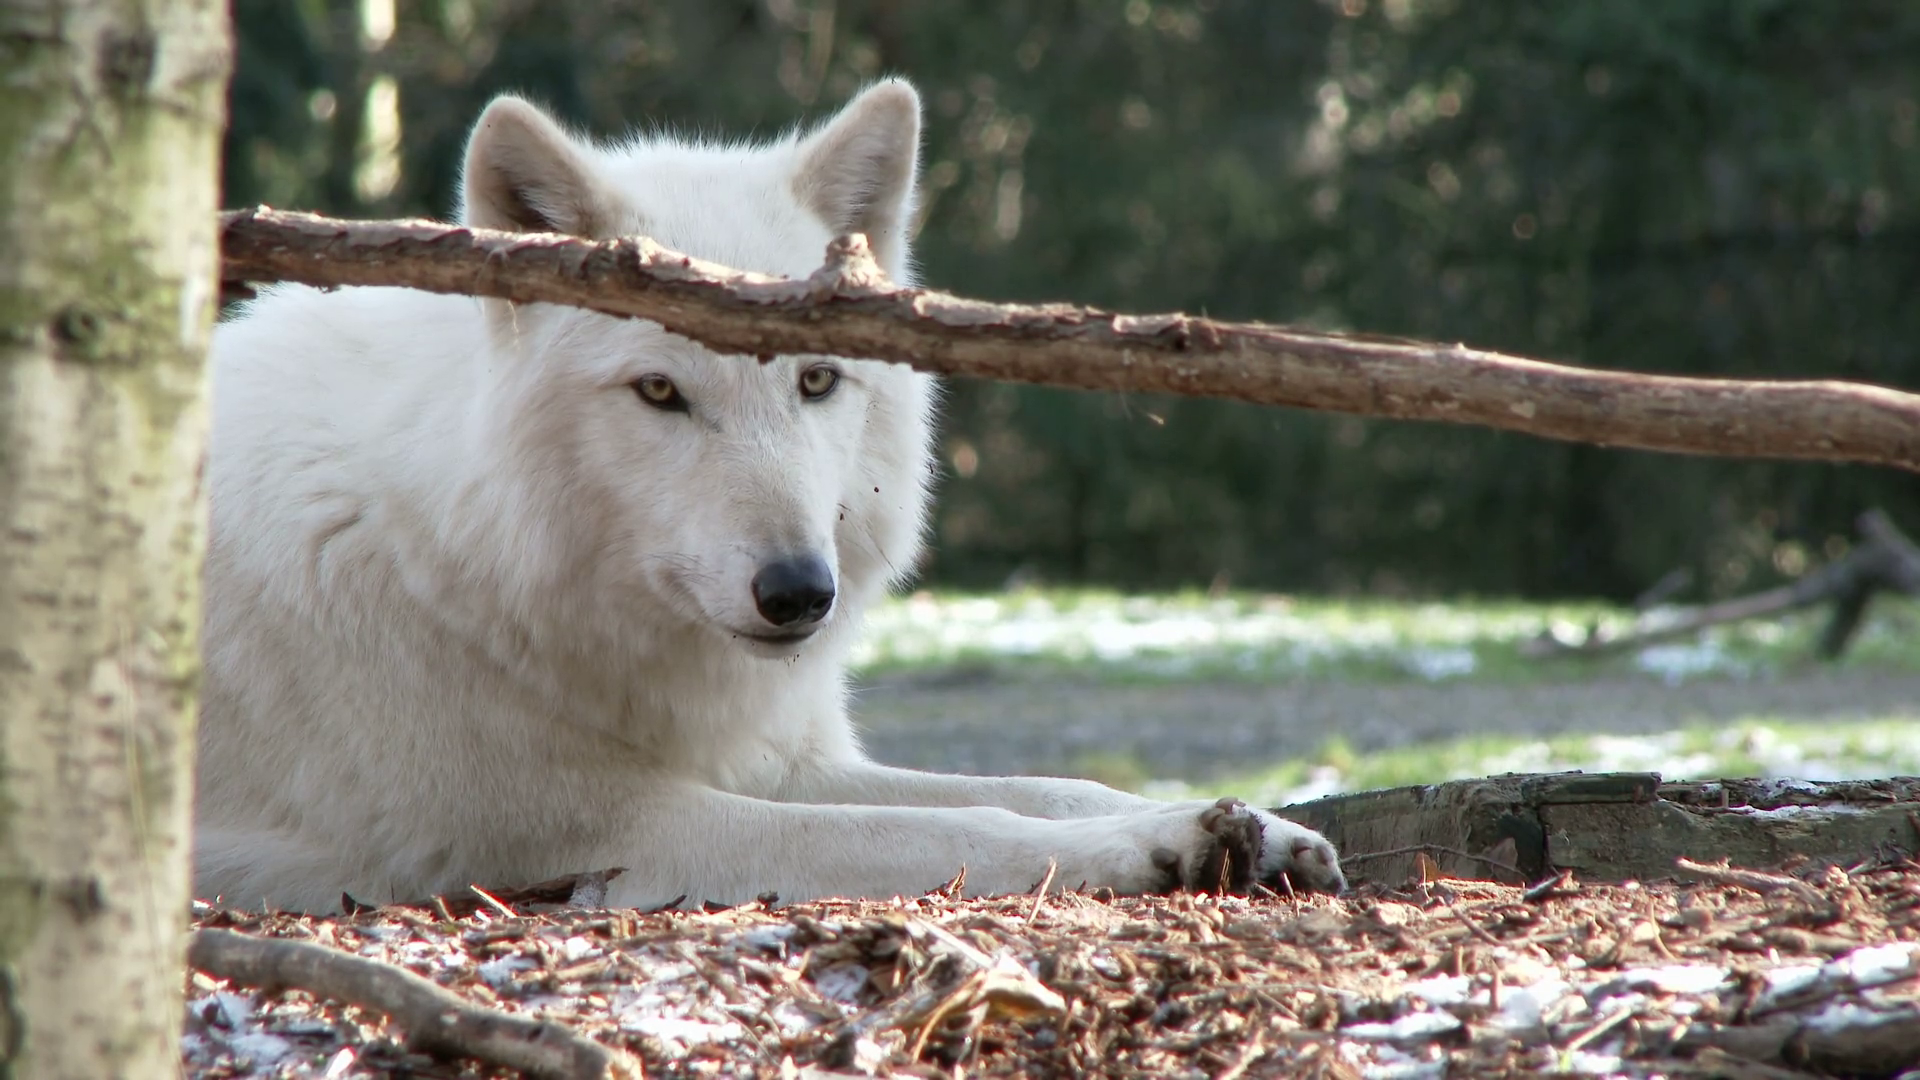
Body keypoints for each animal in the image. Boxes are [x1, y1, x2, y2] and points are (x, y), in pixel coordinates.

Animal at [193, 78, 1345, 912]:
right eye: (661, 392)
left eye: (818, 380)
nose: (799, 594)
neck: (452, 556)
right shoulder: (602, 827)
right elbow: (949, 828)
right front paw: (1157, 851)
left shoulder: (776, 758)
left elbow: (1042, 787)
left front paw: (1241, 828)